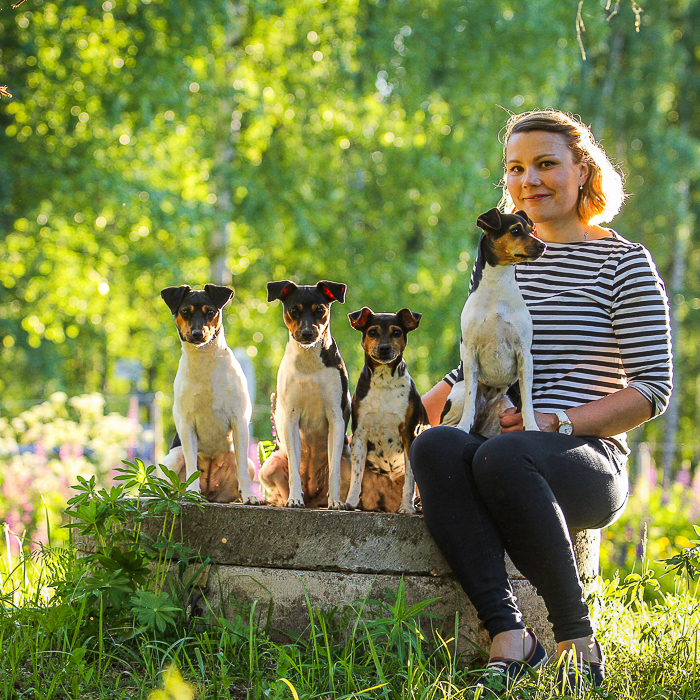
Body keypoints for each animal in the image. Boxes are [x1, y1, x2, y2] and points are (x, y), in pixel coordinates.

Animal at [159, 284, 259, 504]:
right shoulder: (186, 425)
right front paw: (192, 493)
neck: (204, 360)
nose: (198, 333)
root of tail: (210, 494)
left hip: (248, 464)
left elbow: (242, 469)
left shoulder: (239, 421)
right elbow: (192, 467)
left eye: (211, 312)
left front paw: (250, 496)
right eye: (184, 311)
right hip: (172, 459)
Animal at [258, 280, 352, 509]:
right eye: (293, 310)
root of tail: (312, 497)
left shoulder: (336, 418)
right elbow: (293, 467)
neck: (309, 363)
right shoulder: (291, 419)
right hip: (269, 466)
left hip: (349, 460)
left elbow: (334, 471)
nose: (308, 333)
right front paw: (294, 498)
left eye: (320, 310)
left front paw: (335, 501)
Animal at [345, 307, 429, 514]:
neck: (384, 383)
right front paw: (350, 502)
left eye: (396, 332)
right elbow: (356, 475)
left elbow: (410, 480)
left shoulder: (409, 434)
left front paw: (406, 506)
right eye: (372, 332)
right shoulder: (359, 435)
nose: (384, 348)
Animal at [441, 208, 546, 437]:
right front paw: (463, 427)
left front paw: (532, 426)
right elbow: (470, 400)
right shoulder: (471, 354)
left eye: (531, 229)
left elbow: (527, 401)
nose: (543, 245)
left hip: (505, 407)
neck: (498, 289)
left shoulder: (524, 355)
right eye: (515, 230)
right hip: (457, 396)